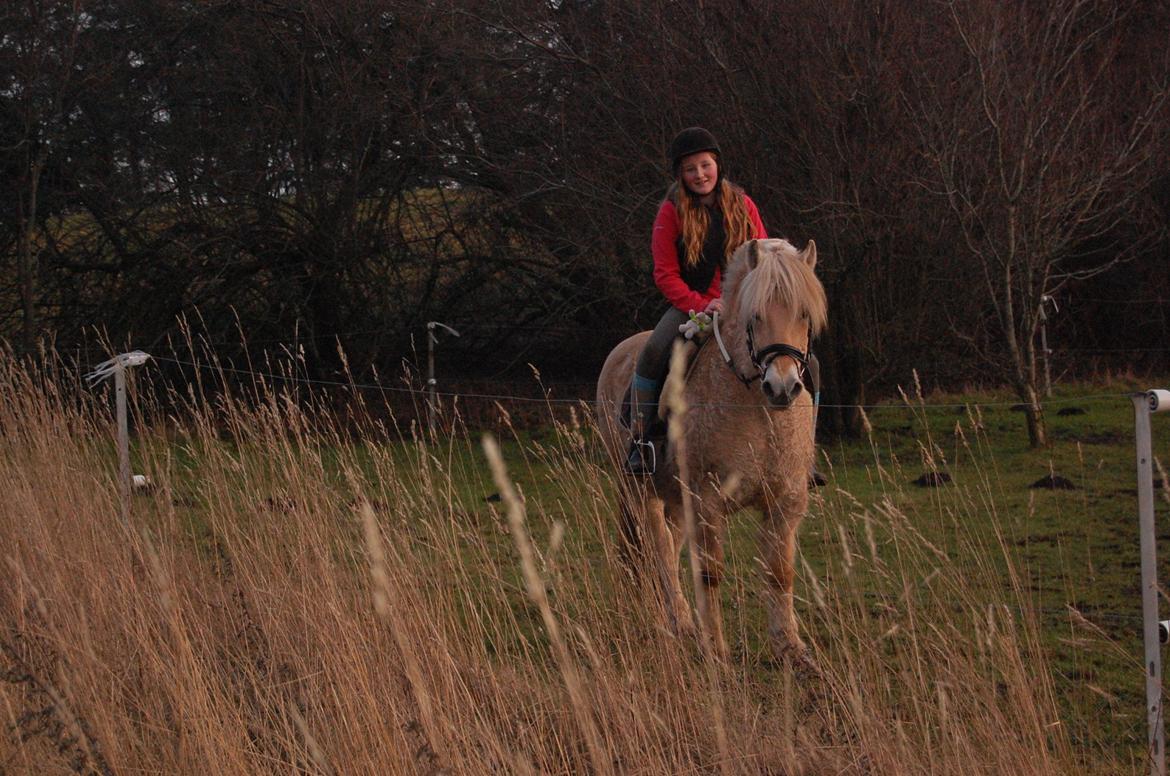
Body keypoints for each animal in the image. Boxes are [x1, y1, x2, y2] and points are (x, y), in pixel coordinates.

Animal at [599, 238, 828, 669]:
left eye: (804, 314)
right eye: (755, 315)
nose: (782, 387)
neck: (755, 407)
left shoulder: (785, 502)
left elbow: (780, 573)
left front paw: (791, 649)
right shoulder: (705, 500)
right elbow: (710, 573)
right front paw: (716, 650)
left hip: (673, 496)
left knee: (669, 546)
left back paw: (681, 621)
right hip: (639, 490)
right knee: (657, 548)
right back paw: (671, 622)